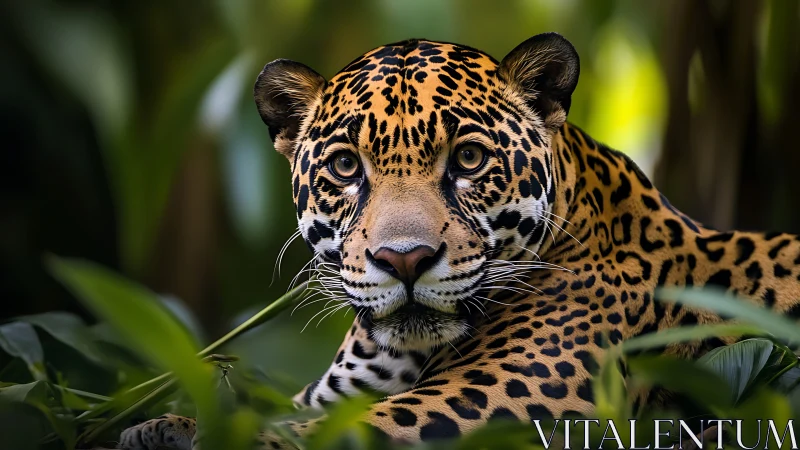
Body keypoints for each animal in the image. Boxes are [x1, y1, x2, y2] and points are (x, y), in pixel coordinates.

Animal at [117, 32, 800, 449]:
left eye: (469, 159)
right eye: (345, 167)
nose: (405, 260)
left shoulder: (499, 399)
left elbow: (336, 431)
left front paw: (181, 430)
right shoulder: (334, 393)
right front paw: (164, 424)